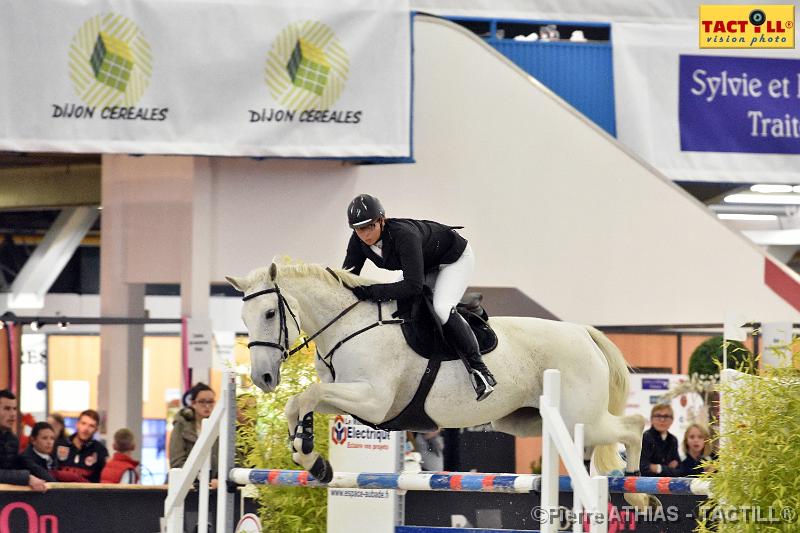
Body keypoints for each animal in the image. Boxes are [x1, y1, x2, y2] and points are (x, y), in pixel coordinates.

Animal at [225, 260, 648, 504]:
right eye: (243, 318)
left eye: (269, 313)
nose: (263, 377)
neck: (347, 325)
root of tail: (582, 332)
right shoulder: (351, 397)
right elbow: (297, 403)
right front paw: (312, 461)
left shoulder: (373, 399)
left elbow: (309, 393)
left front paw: (310, 454)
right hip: (526, 420)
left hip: (581, 418)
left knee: (633, 425)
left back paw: (634, 487)